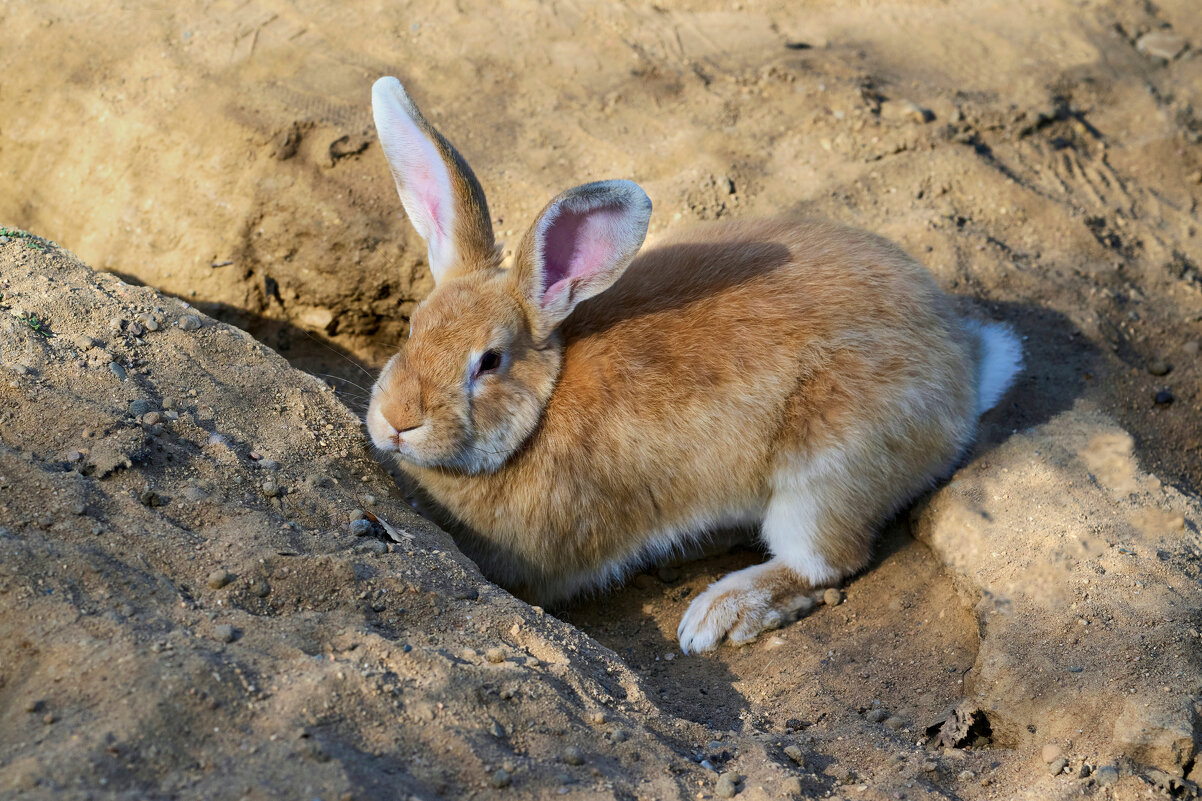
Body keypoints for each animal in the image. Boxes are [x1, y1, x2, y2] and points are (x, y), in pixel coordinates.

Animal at [360, 74, 1019, 654]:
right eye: (413, 328)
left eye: (489, 361)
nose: (397, 421)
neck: (543, 406)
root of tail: (965, 364)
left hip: (829, 463)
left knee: (825, 561)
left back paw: (717, 616)